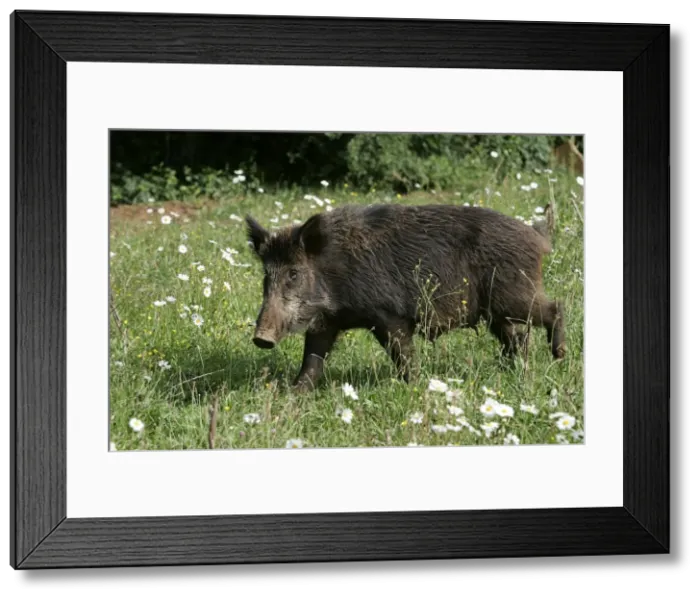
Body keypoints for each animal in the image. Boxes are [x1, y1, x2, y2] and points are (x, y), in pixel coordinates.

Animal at [244, 202, 566, 392]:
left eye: (294, 273)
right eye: (266, 275)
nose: (261, 338)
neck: (333, 272)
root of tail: (537, 235)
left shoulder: (389, 315)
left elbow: (403, 355)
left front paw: (413, 387)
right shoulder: (327, 322)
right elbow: (312, 360)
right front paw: (294, 394)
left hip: (514, 295)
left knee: (555, 308)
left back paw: (559, 356)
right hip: (495, 312)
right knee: (517, 337)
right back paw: (510, 370)